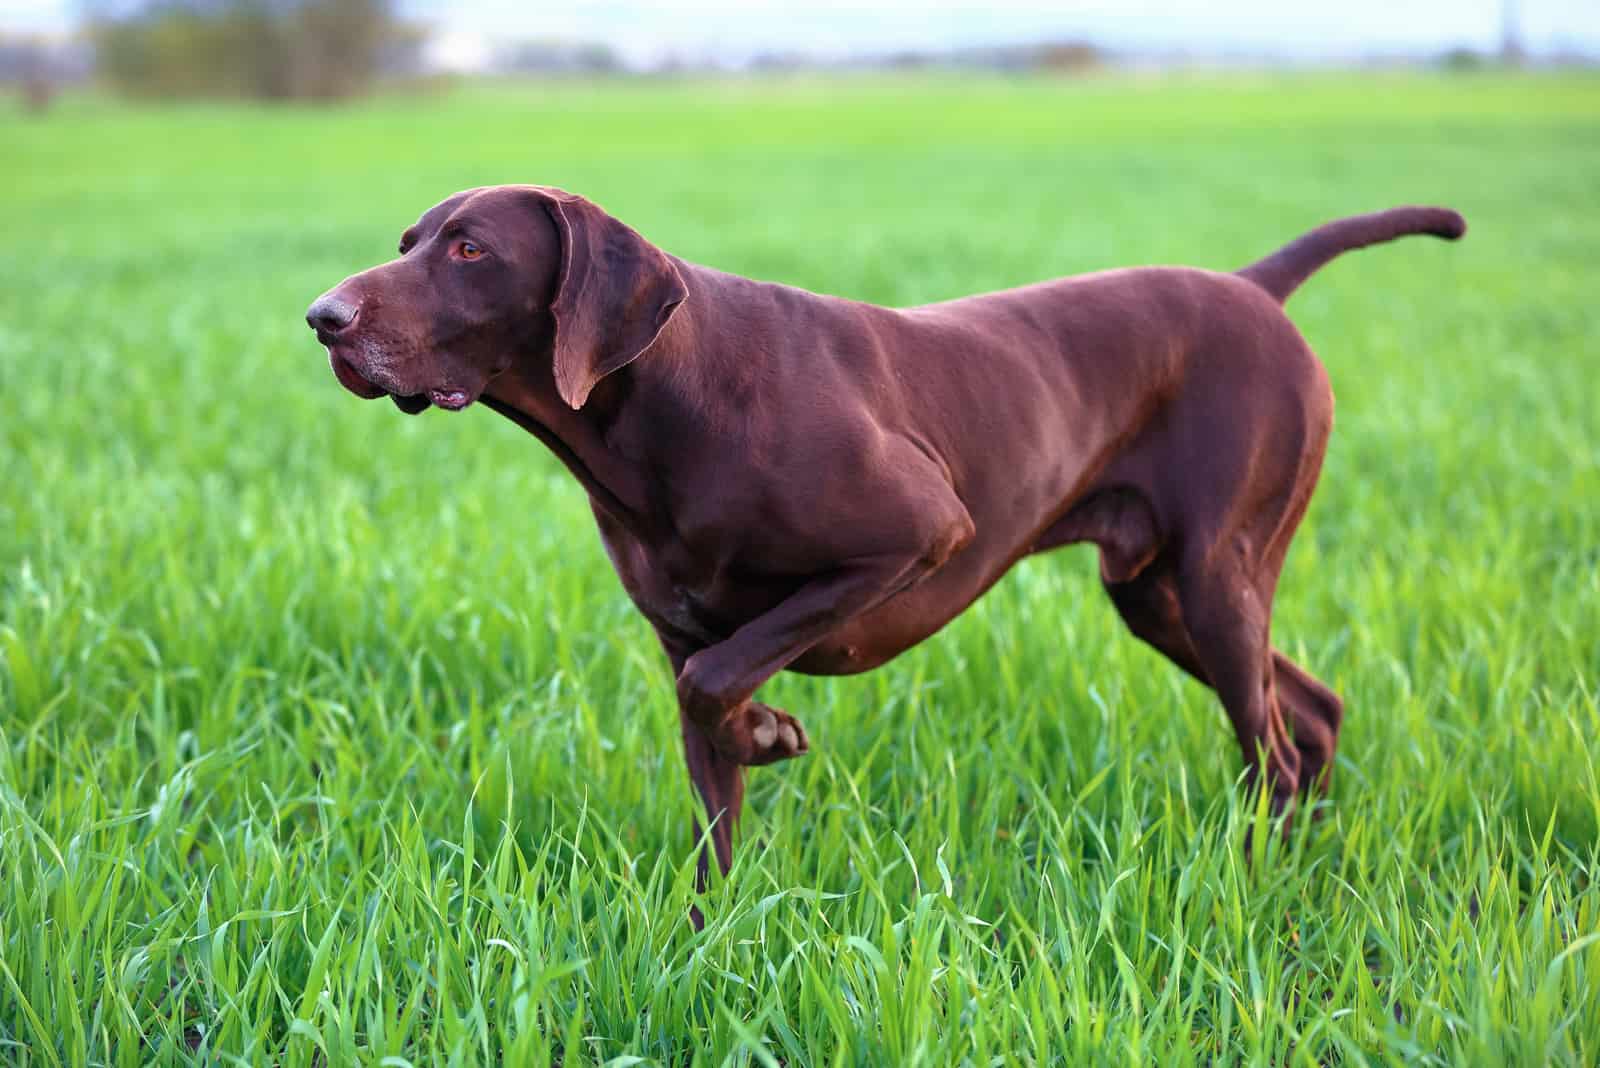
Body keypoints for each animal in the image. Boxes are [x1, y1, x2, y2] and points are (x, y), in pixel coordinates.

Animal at [308, 187, 1465, 888]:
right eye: (408, 244)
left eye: (469, 249)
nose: (323, 317)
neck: (663, 406)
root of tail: (1252, 289)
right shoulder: (680, 633)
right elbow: (711, 767)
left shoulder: (917, 536)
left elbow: (722, 677)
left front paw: (769, 731)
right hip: (1163, 595)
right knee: (1310, 715)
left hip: (1217, 577)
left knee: (1271, 747)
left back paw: (1257, 875)